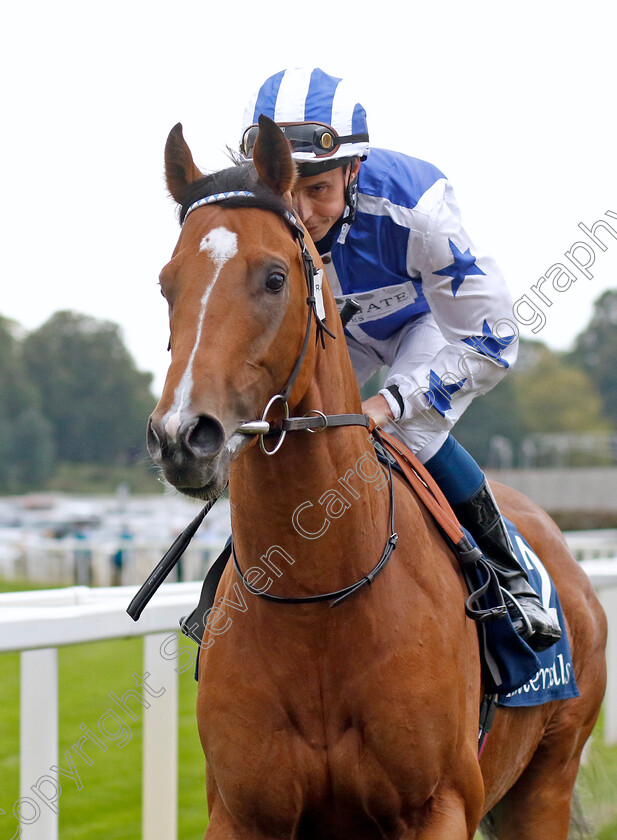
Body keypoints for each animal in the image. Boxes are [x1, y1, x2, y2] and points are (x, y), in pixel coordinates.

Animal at [147, 118, 604, 840]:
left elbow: (487, 333)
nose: (182, 436)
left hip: (546, 779)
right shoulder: (243, 814)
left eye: (274, 277)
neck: (315, 601)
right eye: (167, 283)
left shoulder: (439, 805)